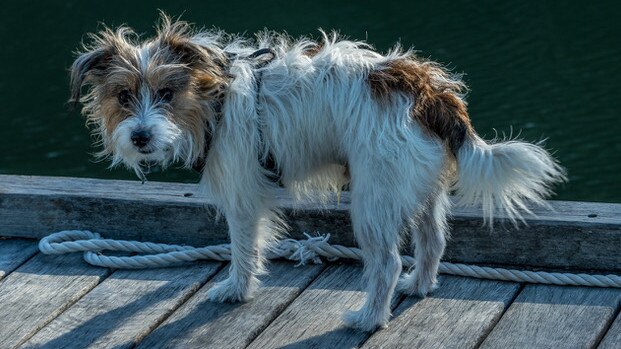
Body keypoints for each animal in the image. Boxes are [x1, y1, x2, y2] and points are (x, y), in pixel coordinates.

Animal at [69, 13, 568, 328]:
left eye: (167, 94)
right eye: (123, 96)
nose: (140, 137)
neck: (214, 100)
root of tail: (427, 88)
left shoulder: (243, 194)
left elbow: (242, 248)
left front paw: (235, 290)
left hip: (373, 198)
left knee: (386, 262)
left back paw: (368, 320)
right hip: (417, 184)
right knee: (432, 240)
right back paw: (418, 285)